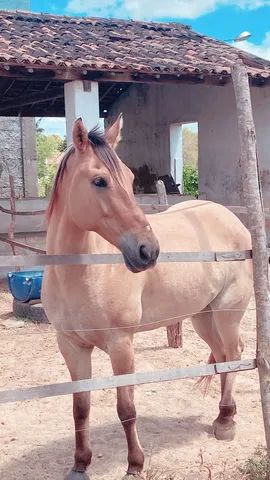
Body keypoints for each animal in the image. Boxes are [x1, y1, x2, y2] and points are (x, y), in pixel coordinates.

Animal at [41, 116, 253, 480]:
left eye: (129, 179)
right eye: (99, 181)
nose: (148, 251)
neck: (82, 272)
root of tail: (230, 218)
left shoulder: (121, 345)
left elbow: (126, 408)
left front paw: (135, 464)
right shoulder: (71, 346)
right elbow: (80, 407)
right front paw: (80, 464)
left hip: (227, 314)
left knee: (234, 354)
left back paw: (226, 422)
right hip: (203, 317)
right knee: (223, 356)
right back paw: (223, 416)